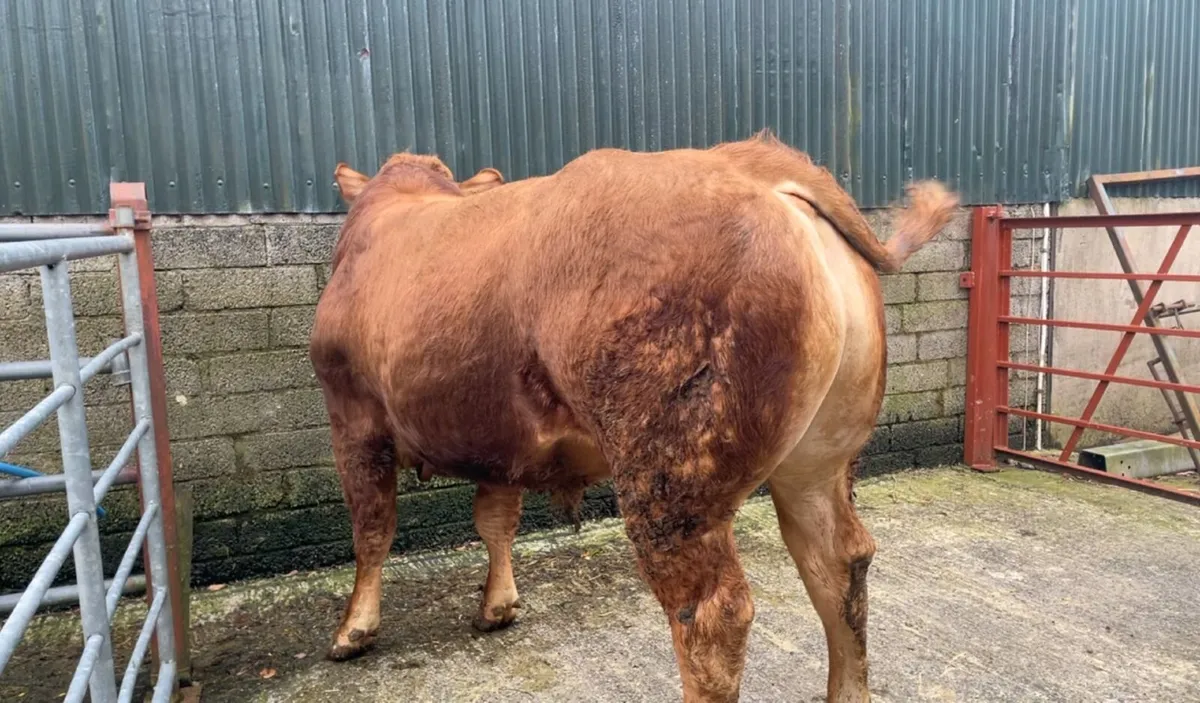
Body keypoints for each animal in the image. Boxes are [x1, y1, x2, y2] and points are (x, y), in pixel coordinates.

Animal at [310, 133, 957, 702]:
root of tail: (751, 163)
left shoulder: (351, 418)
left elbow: (372, 528)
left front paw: (352, 630)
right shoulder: (498, 436)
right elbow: (496, 521)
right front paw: (498, 605)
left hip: (670, 476)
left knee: (711, 614)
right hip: (819, 459)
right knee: (839, 565)